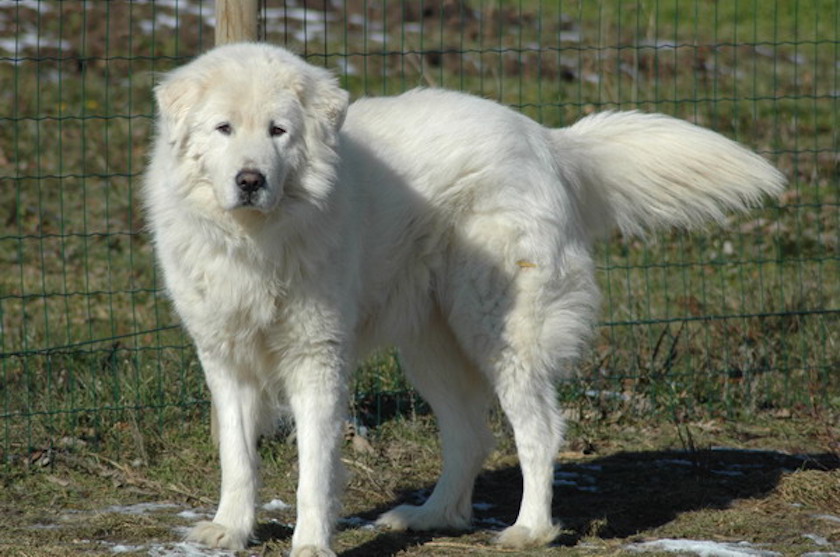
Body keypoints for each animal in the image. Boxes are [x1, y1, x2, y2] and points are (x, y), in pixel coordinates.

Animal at [143, 43, 780, 556]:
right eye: (224, 129)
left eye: (278, 131)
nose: (250, 180)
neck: (255, 240)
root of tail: (546, 141)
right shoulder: (224, 358)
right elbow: (237, 457)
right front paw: (230, 529)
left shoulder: (317, 357)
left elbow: (314, 470)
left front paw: (311, 544)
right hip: (430, 345)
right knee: (471, 436)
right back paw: (433, 516)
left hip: (499, 333)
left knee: (539, 431)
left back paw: (529, 530)